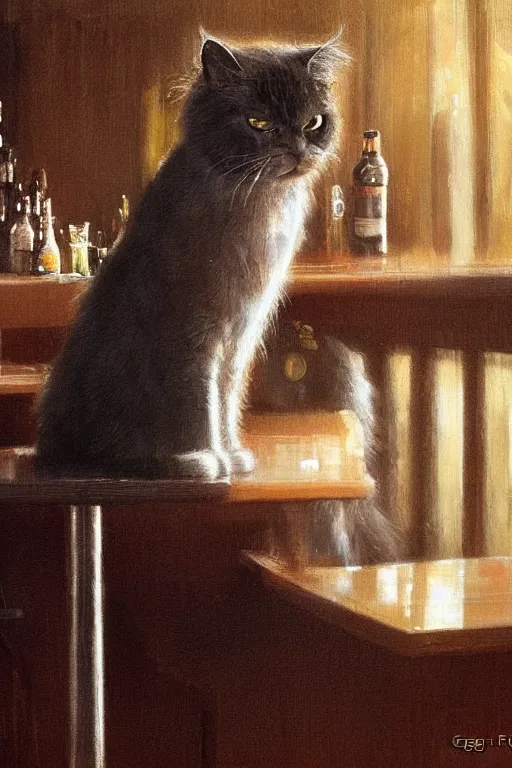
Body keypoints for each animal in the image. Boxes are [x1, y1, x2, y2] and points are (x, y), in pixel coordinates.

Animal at [35, 36, 344, 484]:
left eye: (313, 123)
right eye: (259, 123)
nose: (298, 150)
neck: (258, 199)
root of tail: (46, 448)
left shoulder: (240, 335)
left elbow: (226, 397)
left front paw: (230, 453)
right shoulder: (191, 327)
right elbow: (197, 398)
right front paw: (199, 460)